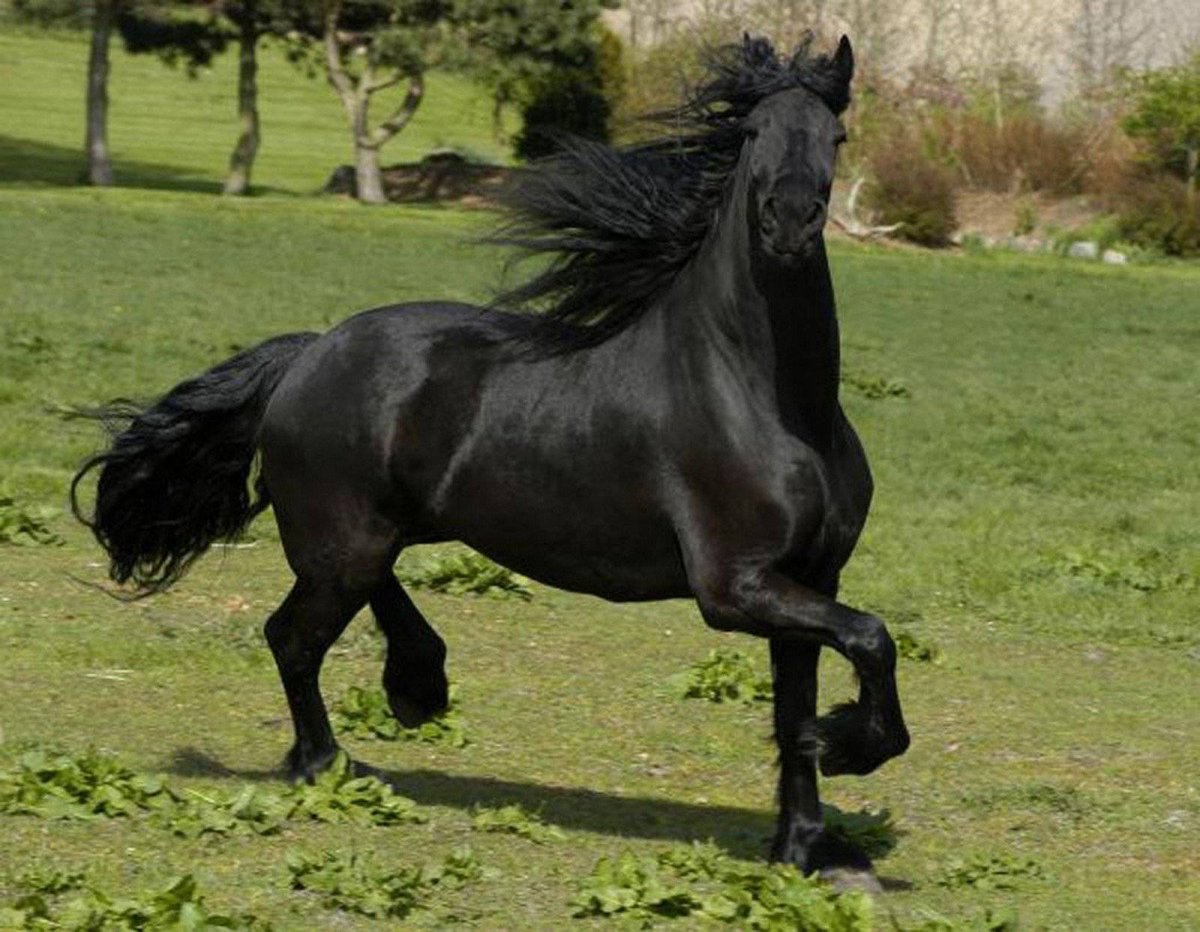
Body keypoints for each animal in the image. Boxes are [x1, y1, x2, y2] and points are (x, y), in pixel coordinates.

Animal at [71, 34, 909, 885]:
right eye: (750, 134)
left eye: (836, 135)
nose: (790, 222)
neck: (768, 401)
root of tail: (309, 353)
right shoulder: (733, 586)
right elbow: (872, 639)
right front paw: (852, 748)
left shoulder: (809, 578)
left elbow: (796, 705)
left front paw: (807, 846)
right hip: (343, 542)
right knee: (292, 638)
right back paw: (328, 763)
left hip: (379, 534)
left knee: (357, 602)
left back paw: (418, 682)